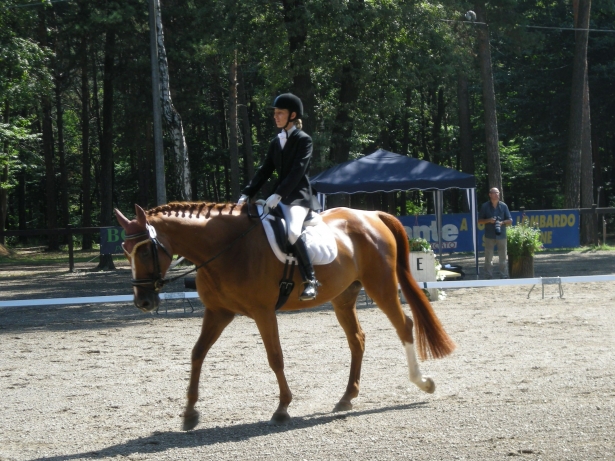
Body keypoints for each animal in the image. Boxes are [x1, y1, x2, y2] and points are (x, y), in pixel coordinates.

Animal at [115, 201, 454, 428]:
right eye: (125, 250)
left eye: (144, 250)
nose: (143, 302)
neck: (226, 248)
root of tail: (371, 215)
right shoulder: (218, 312)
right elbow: (197, 353)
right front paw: (189, 413)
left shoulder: (263, 312)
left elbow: (275, 357)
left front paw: (282, 408)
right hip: (344, 297)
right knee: (357, 339)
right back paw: (347, 397)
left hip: (380, 286)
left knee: (404, 325)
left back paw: (423, 382)